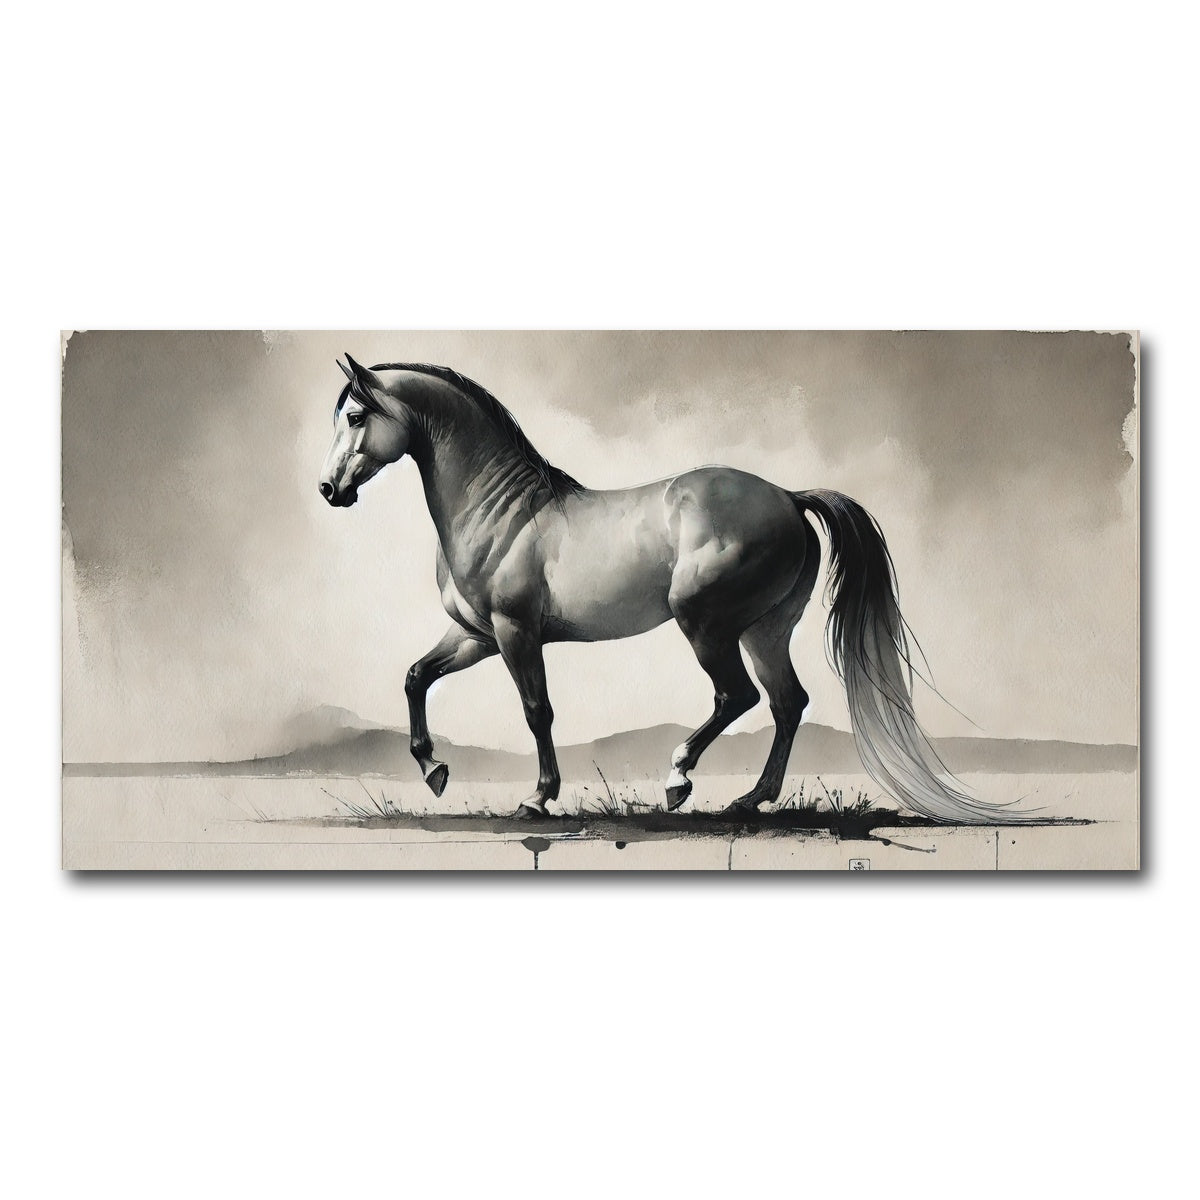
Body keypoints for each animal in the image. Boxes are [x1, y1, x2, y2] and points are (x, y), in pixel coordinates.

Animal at [319, 355, 1017, 824]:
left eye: (355, 415)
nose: (329, 490)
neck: (503, 512)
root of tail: (789, 498)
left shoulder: (517, 633)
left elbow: (537, 711)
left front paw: (539, 797)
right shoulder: (475, 635)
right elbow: (415, 677)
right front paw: (434, 770)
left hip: (705, 624)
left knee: (738, 696)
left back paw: (680, 779)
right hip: (764, 630)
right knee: (786, 702)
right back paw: (748, 800)